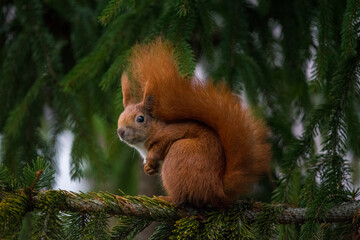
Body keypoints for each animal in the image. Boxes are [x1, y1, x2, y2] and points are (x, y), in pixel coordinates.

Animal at [116, 38, 272, 207]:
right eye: (120, 115)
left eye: (140, 119)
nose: (120, 132)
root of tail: (216, 189)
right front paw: (148, 169)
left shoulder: (171, 131)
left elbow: (161, 144)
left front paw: (150, 159)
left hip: (179, 155)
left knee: (181, 198)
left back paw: (166, 199)